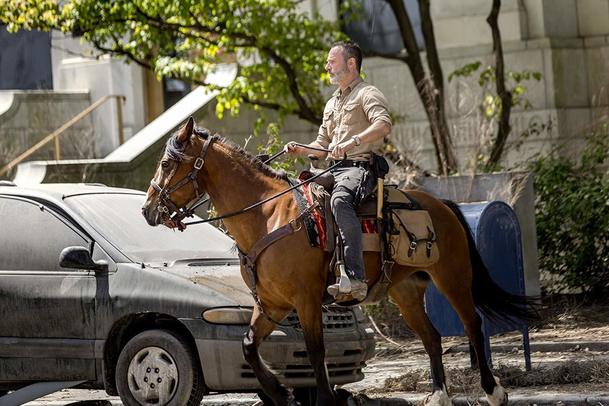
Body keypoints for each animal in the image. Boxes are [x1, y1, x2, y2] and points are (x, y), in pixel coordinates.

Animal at [142, 119, 536, 406]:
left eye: (166, 163)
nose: (147, 210)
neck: (268, 214)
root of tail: (442, 205)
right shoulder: (271, 304)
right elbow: (249, 346)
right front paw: (281, 394)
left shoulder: (305, 299)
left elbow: (316, 352)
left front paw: (325, 399)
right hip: (407, 291)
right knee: (432, 337)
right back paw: (439, 395)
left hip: (452, 277)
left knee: (473, 324)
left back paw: (493, 390)